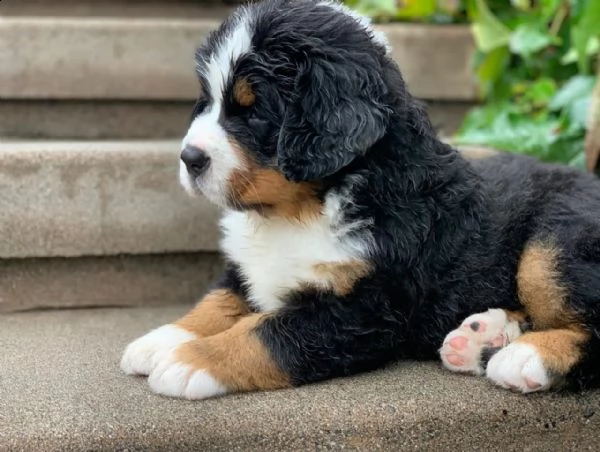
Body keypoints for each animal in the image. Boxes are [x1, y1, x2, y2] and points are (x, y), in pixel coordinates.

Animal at [119, 0, 600, 398]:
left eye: (253, 112)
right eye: (206, 102)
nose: (190, 158)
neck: (300, 209)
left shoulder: (364, 310)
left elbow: (265, 332)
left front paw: (189, 362)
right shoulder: (248, 269)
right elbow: (218, 301)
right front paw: (162, 339)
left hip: (553, 244)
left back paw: (525, 356)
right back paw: (483, 334)